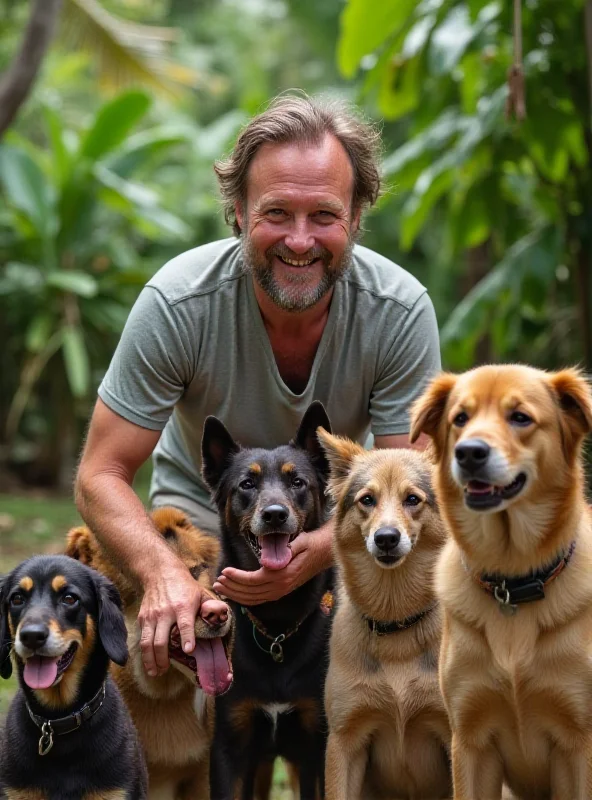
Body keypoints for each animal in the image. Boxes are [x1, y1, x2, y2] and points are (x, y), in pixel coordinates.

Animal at [202, 400, 332, 800]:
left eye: (297, 482)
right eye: (247, 483)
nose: (275, 515)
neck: (277, 626)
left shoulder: (317, 746)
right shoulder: (230, 748)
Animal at [412, 368, 592, 800]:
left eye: (520, 417)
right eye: (460, 419)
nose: (468, 453)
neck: (512, 578)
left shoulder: (578, 744)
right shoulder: (470, 741)